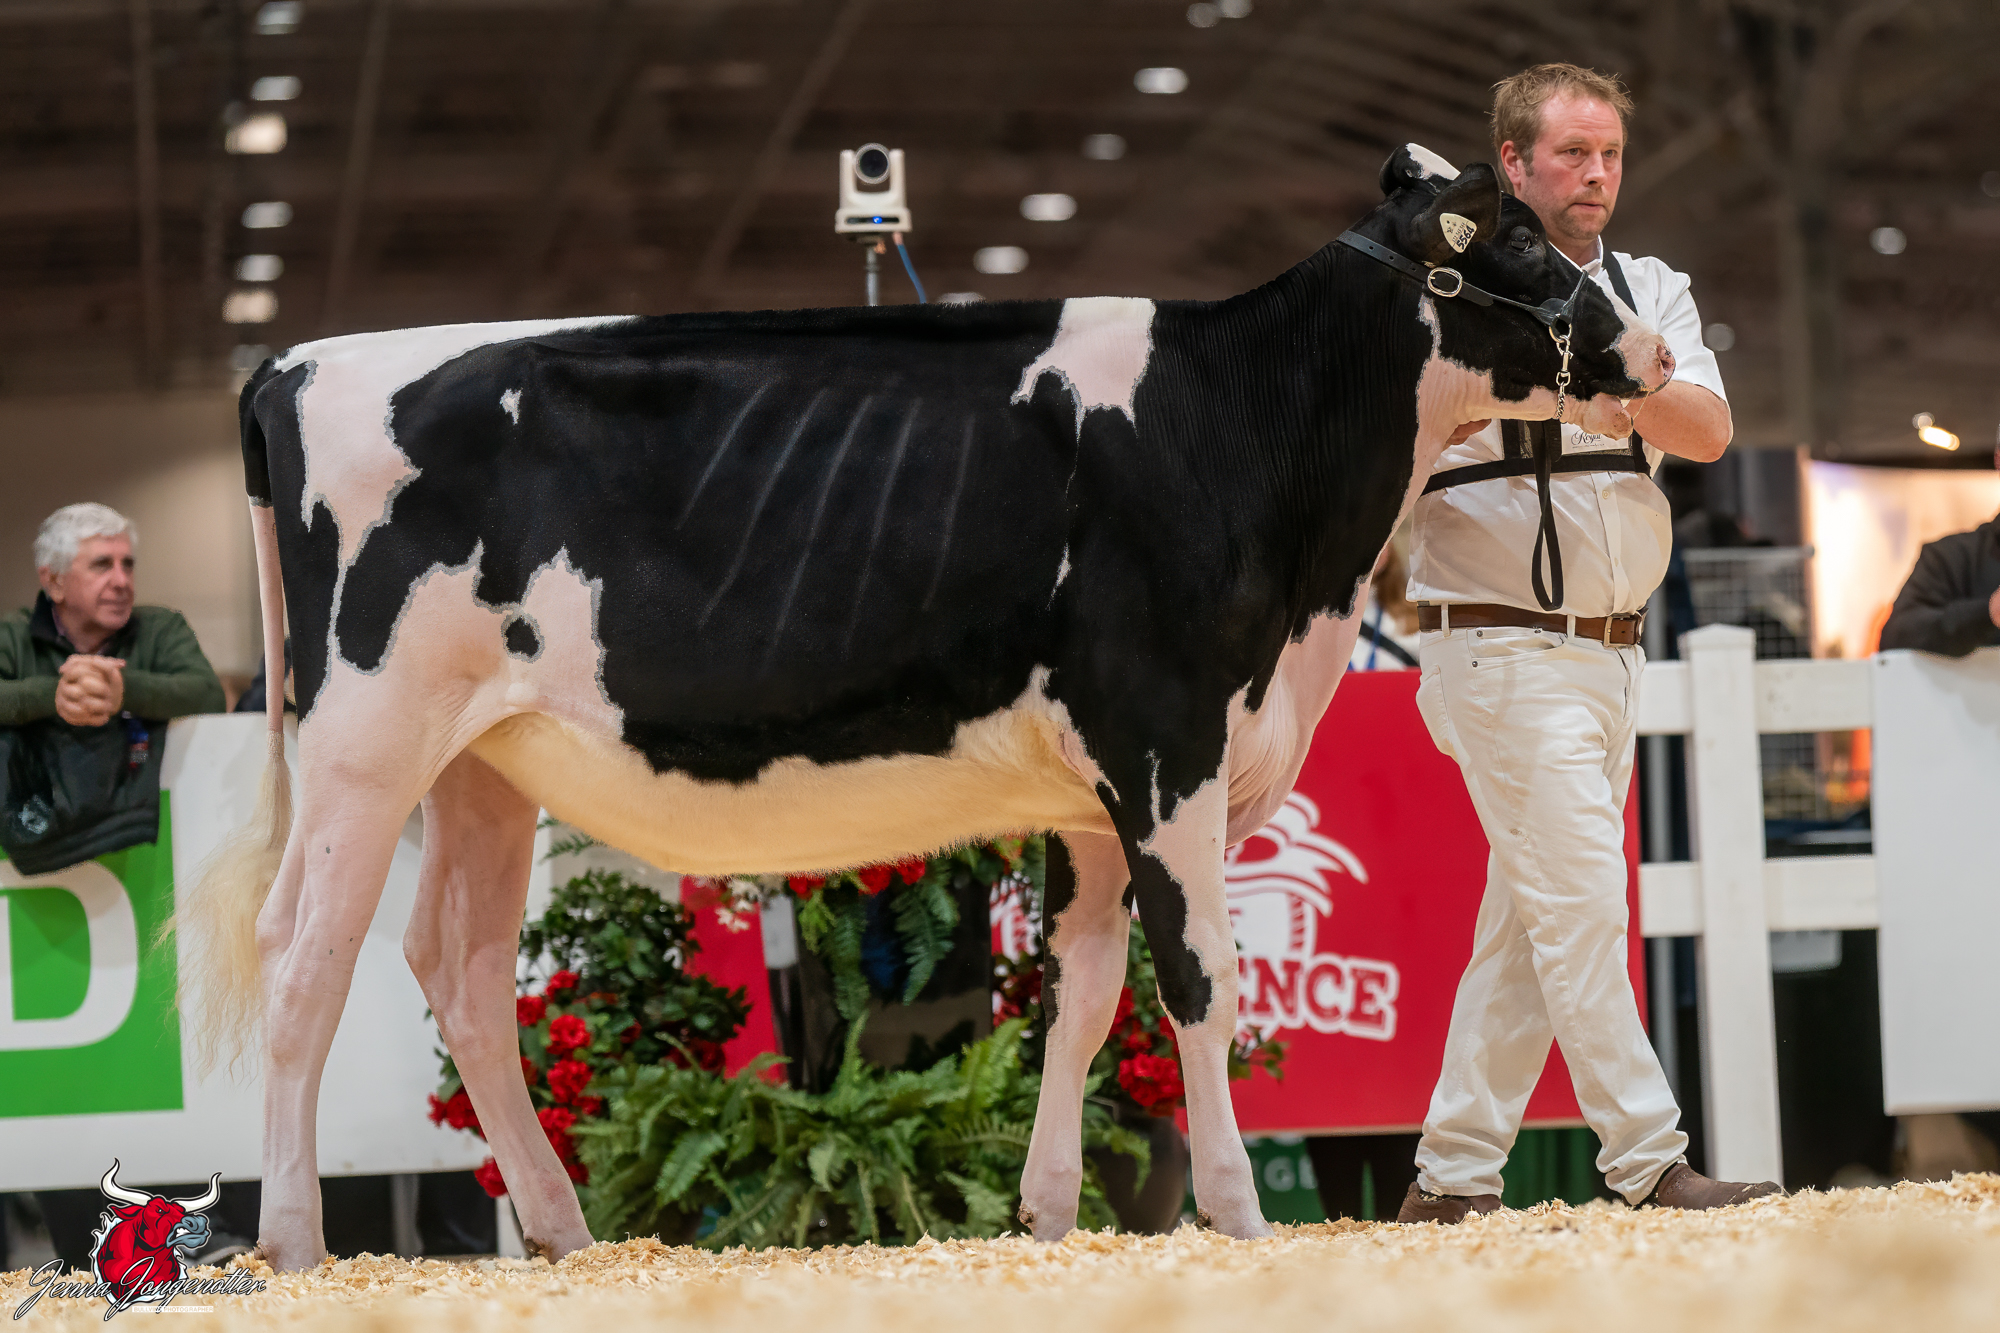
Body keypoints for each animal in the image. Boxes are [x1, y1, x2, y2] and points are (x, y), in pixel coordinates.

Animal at [173, 143, 1672, 1269]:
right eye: (1518, 243)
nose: (1654, 347)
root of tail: (293, 362)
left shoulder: (1099, 790)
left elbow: (1080, 991)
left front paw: (1051, 1212)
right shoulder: (1164, 741)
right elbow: (1198, 977)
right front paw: (1238, 1214)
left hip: (483, 760)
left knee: (465, 969)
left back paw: (565, 1233)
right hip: (364, 740)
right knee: (306, 957)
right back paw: (297, 1243)